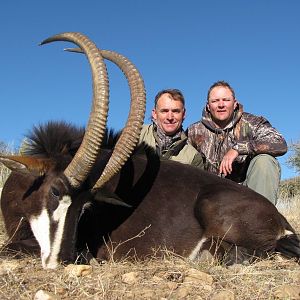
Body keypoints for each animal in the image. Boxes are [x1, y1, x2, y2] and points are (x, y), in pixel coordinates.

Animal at [0, 32, 300, 270]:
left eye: (85, 206)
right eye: (54, 191)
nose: (62, 260)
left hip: (213, 206)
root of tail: (281, 221)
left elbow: (8, 248)